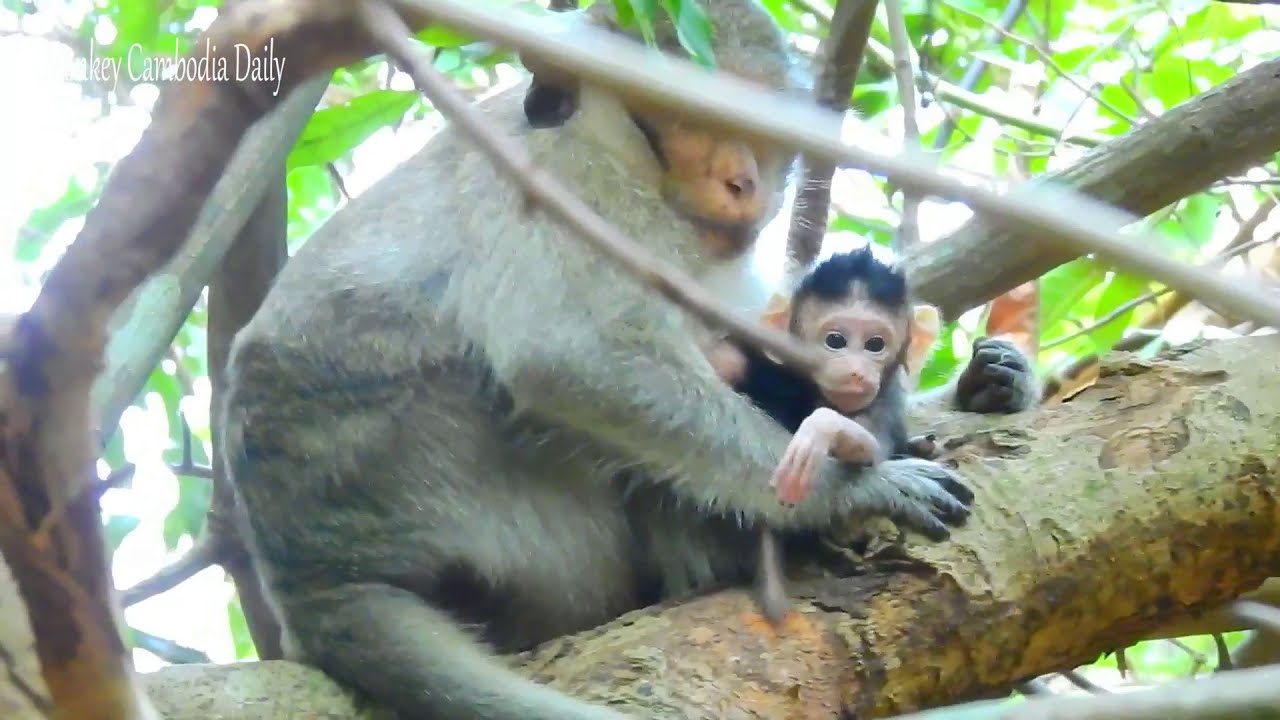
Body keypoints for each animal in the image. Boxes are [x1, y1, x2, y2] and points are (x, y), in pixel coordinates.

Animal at [217, 3, 1034, 720]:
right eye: (693, 119)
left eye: (754, 124)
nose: (743, 180)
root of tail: (311, 578)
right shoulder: (566, 178)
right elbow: (571, 356)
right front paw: (847, 487)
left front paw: (987, 387)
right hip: (462, 486)